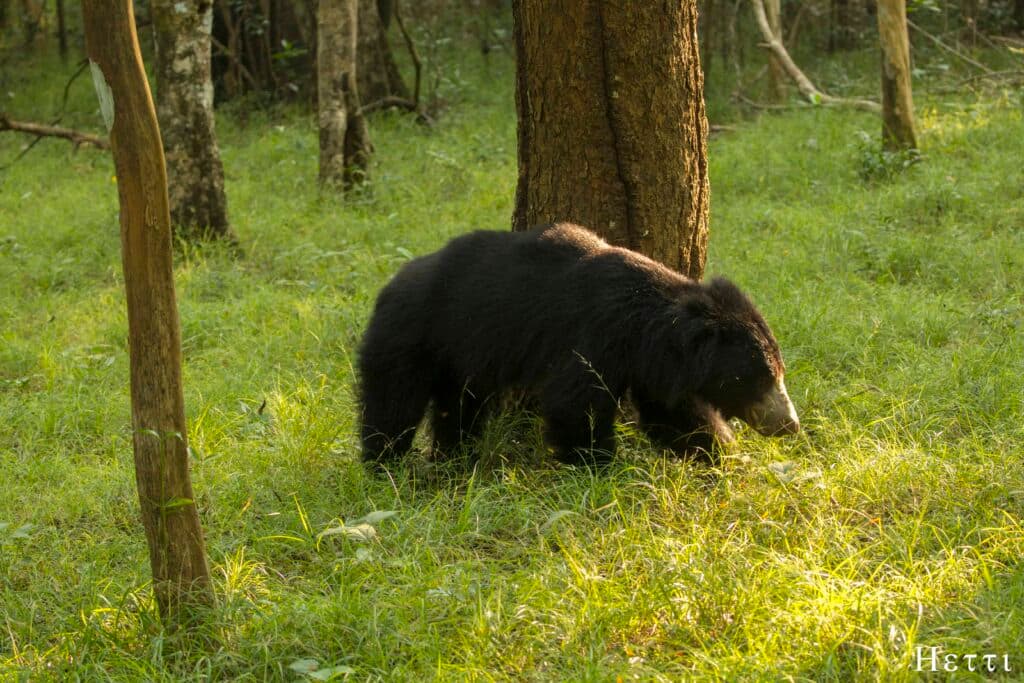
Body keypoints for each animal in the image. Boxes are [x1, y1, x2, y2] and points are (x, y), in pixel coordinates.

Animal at [357, 223, 799, 468]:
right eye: (760, 378)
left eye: (778, 373)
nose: (790, 425)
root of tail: (388, 286)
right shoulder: (595, 336)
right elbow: (575, 403)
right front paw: (599, 466)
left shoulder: (651, 364)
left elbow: (670, 414)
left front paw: (721, 454)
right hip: (410, 338)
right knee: (392, 403)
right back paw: (383, 463)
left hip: (459, 357)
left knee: (460, 408)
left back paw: (455, 457)